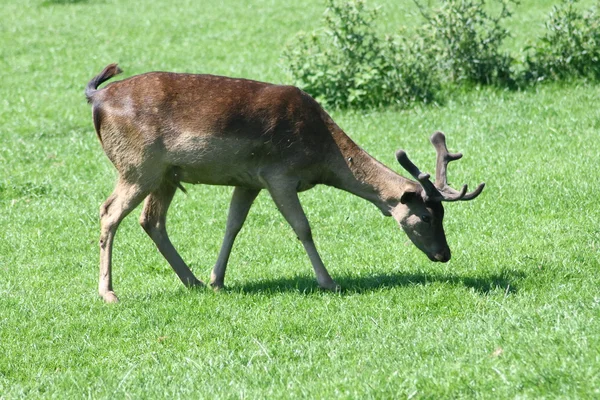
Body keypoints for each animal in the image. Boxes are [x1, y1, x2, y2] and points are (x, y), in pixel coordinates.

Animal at [86, 64, 486, 302]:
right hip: (138, 165)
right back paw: (109, 293)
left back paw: (193, 282)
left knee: (151, 221)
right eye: (427, 217)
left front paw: (217, 280)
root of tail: (96, 96)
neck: (321, 156)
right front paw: (328, 281)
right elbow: (302, 227)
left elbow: (233, 225)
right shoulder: (278, 174)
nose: (444, 254)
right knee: (108, 213)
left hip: (166, 173)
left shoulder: (249, 179)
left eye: (443, 216)